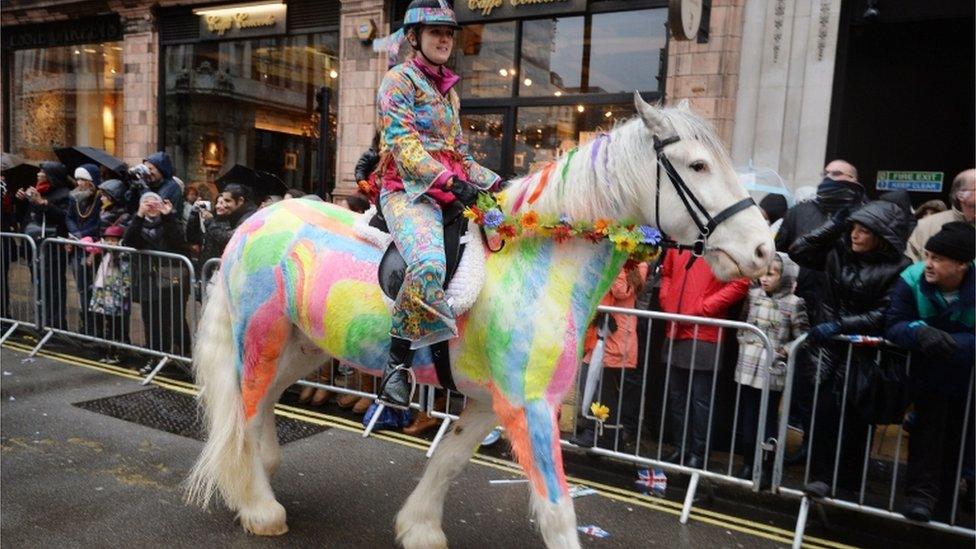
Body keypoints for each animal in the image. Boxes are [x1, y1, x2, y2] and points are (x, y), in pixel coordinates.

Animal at [187, 95, 772, 548]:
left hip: (304, 345)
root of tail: (254, 220)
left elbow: (447, 461)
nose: (766, 253)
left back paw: (259, 474)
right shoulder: (529, 406)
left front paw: (419, 528)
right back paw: (259, 506)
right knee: (245, 408)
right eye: (697, 166)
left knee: (260, 404)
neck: (534, 265)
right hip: (261, 336)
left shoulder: (492, 402)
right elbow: (557, 510)